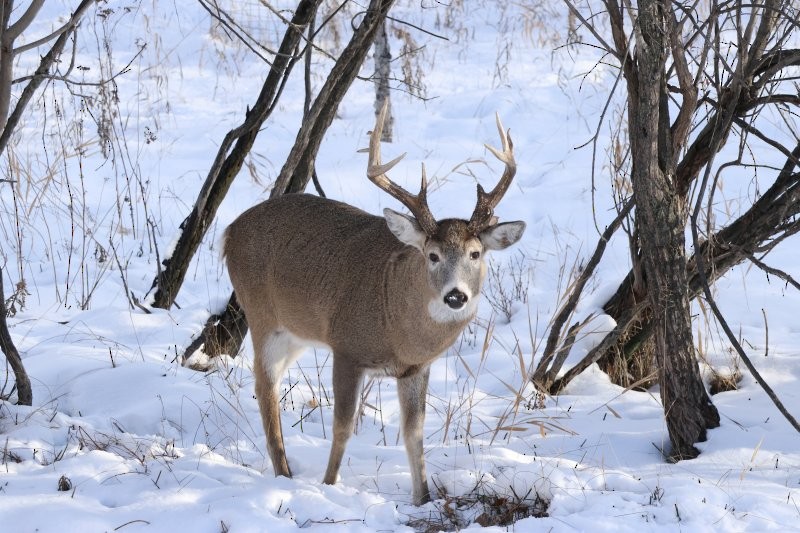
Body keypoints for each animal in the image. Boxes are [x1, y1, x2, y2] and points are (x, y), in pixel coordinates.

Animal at [223, 103, 526, 505]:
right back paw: (284, 474)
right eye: (432, 255)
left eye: (475, 254)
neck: (397, 326)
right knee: (266, 390)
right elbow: (342, 426)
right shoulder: (346, 348)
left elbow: (414, 434)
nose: (456, 296)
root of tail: (229, 231)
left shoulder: (416, 368)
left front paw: (423, 498)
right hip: (261, 315)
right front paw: (329, 485)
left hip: (295, 334)